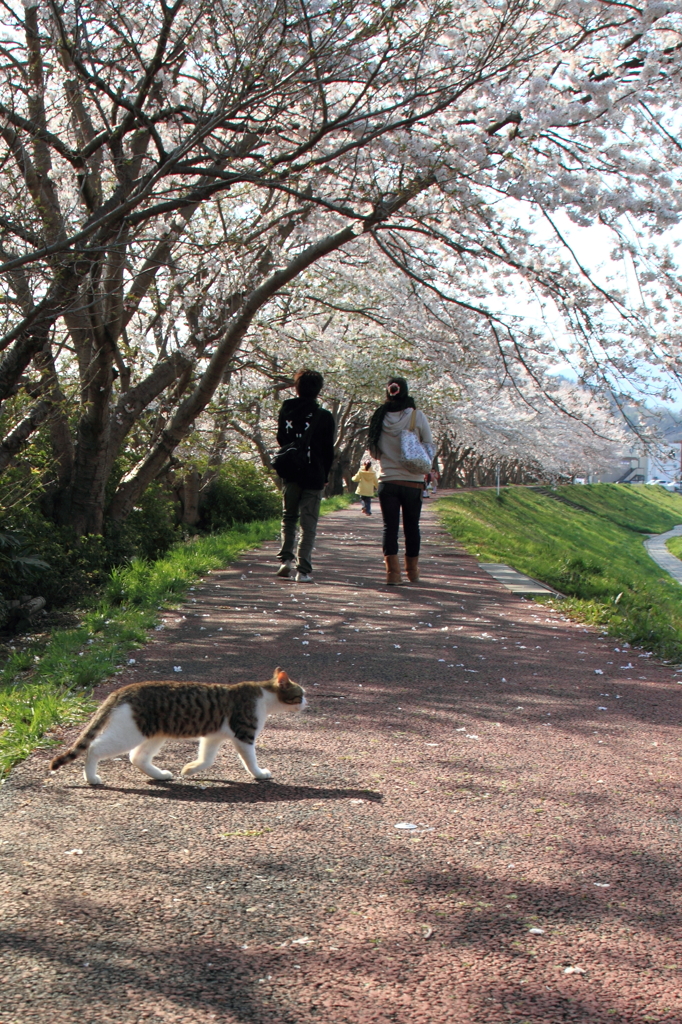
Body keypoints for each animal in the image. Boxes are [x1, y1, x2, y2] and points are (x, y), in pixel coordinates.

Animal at [51, 667, 307, 786]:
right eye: (301, 694)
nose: (307, 702)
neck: (264, 694)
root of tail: (123, 690)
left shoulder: (212, 736)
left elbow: (206, 759)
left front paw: (189, 770)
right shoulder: (244, 734)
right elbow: (250, 761)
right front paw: (260, 774)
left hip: (153, 735)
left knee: (137, 758)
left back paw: (160, 775)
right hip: (129, 733)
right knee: (94, 748)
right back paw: (91, 777)